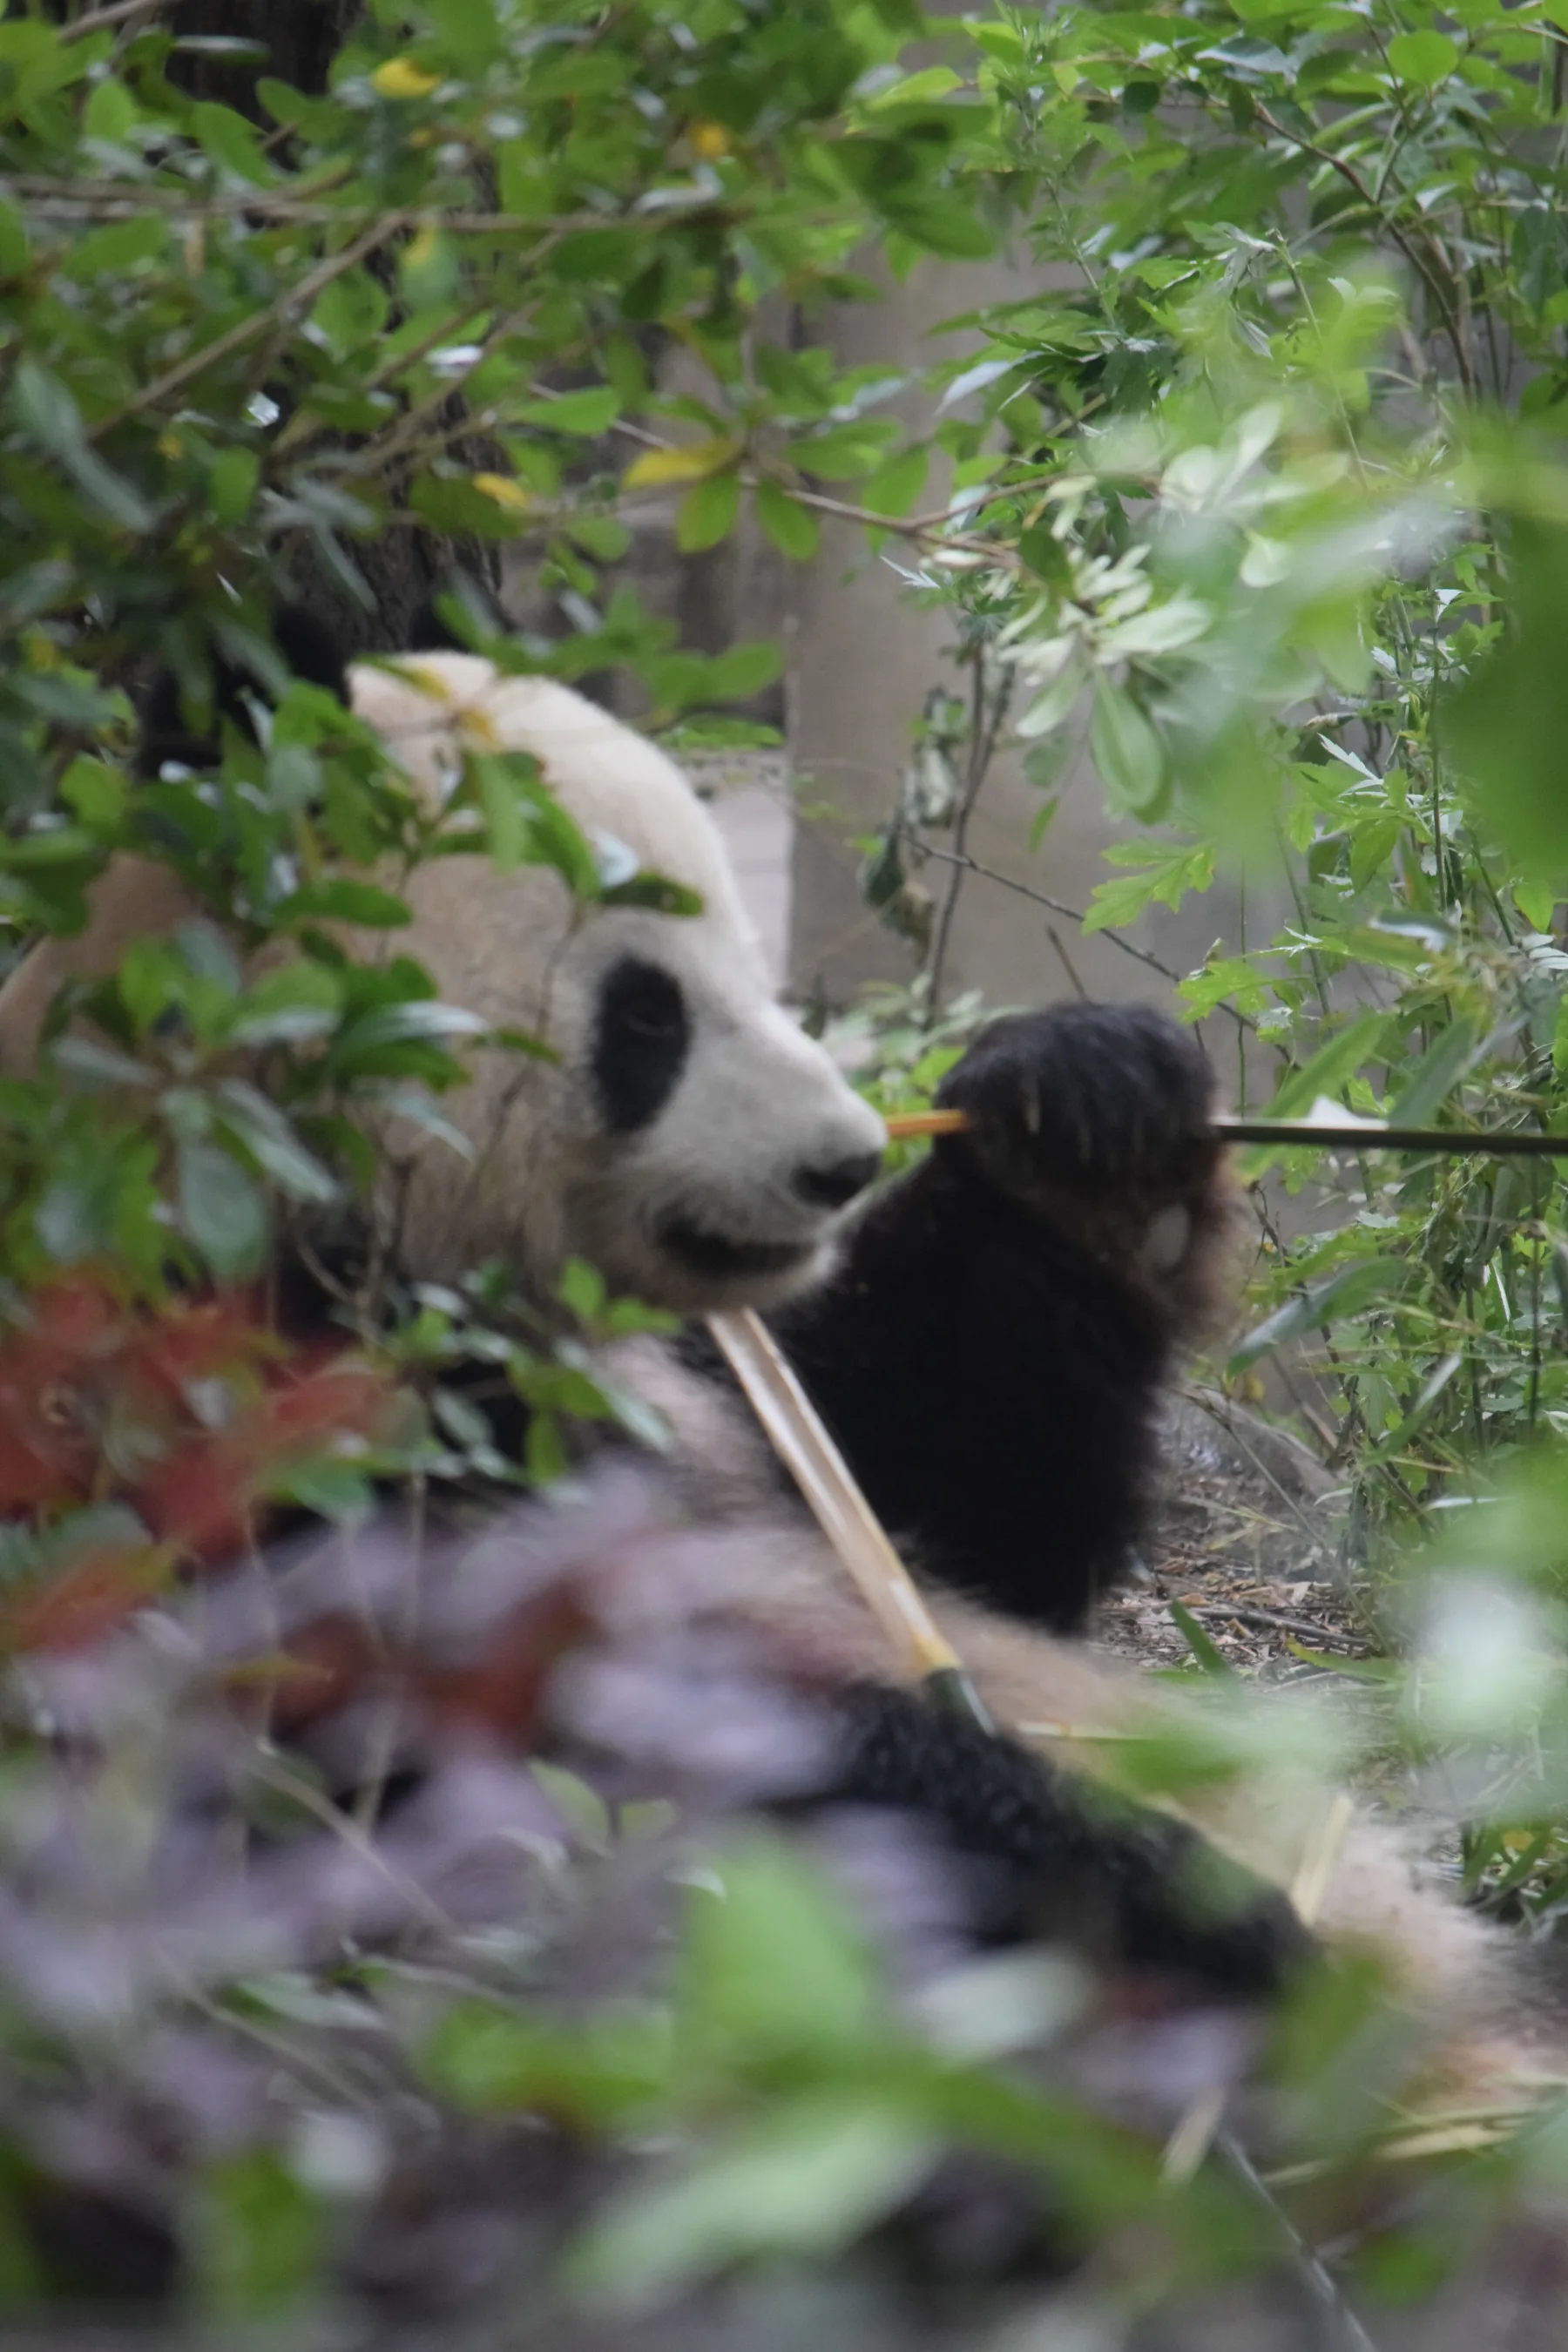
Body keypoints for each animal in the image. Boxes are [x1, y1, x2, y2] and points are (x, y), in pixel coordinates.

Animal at [0, 626, 1524, 2048]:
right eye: (647, 1014)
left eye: (749, 955)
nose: (843, 1165)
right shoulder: (229, 1401)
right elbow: (495, 1757)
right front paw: (1169, 1898)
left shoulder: (705, 1375)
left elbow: (959, 1506)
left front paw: (1088, 1121)